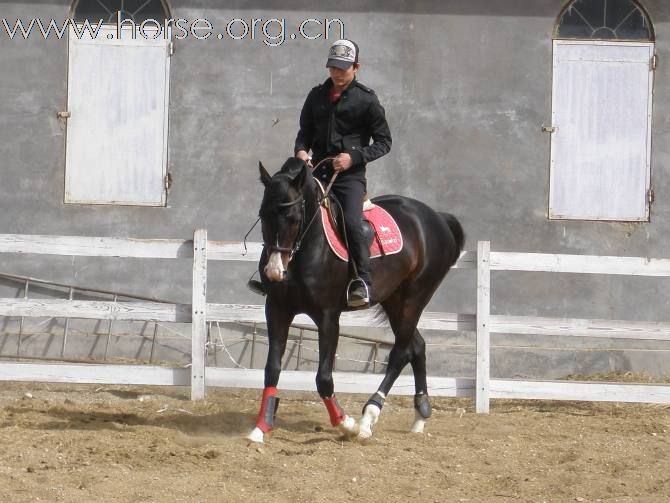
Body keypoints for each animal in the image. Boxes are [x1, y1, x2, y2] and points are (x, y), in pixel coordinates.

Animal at [248, 158, 468, 444]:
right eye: (263, 215)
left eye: (294, 218)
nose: (275, 272)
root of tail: (437, 218)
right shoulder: (276, 310)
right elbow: (271, 369)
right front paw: (261, 427)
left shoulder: (328, 317)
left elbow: (324, 378)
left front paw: (346, 424)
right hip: (394, 300)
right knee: (417, 346)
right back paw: (419, 415)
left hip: (415, 297)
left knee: (401, 352)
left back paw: (367, 418)